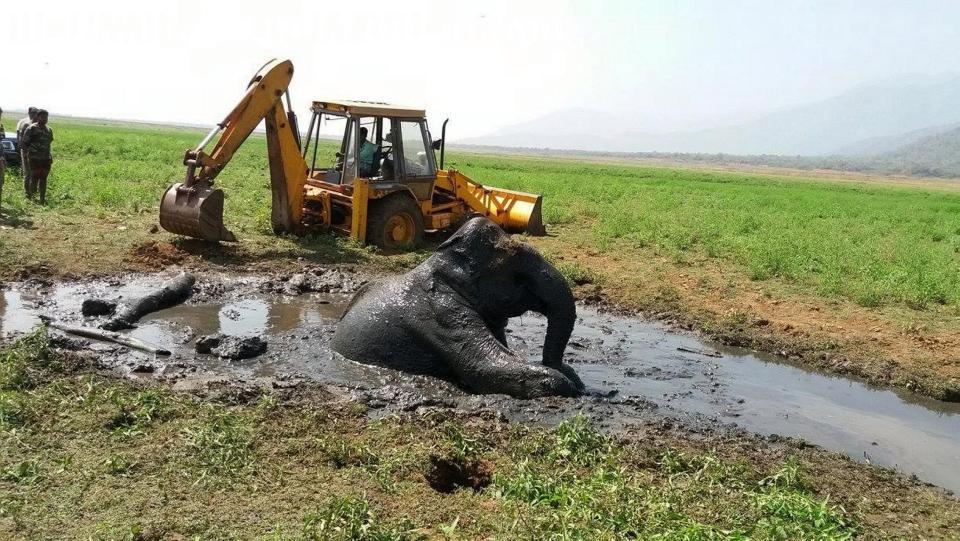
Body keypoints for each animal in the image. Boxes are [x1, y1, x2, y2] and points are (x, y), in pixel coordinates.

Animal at [330, 214, 584, 396]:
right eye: (519, 275)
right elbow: (486, 368)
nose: (569, 371)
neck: (444, 258)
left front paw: (572, 379)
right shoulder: (442, 313)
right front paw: (568, 384)